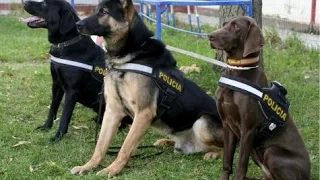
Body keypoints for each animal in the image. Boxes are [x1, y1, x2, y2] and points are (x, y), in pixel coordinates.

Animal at [21, 0, 106, 142]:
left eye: (45, 4)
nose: (25, 2)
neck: (65, 44)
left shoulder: (71, 91)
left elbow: (65, 116)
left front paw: (57, 137)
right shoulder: (56, 85)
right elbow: (53, 108)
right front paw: (46, 126)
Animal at [71, 0, 224, 176]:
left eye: (103, 11)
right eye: (96, 9)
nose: (77, 25)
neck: (128, 57)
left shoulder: (143, 113)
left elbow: (125, 147)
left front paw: (113, 169)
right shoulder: (112, 110)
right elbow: (100, 145)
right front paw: (88, 165)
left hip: (202, 123)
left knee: (227, 147)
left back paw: (213, 153)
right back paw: (166, 141)